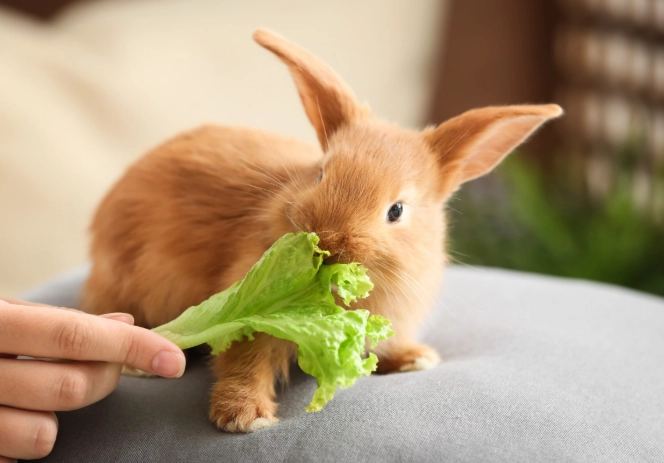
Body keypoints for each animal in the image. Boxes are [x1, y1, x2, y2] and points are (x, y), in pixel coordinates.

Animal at [80, 28, 563, 433]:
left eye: (396, 210)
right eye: (321, 175)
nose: (327, 243)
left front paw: (415, 360)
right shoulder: (247, 312)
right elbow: (244, 360)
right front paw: (245, 417)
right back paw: (139, 363)